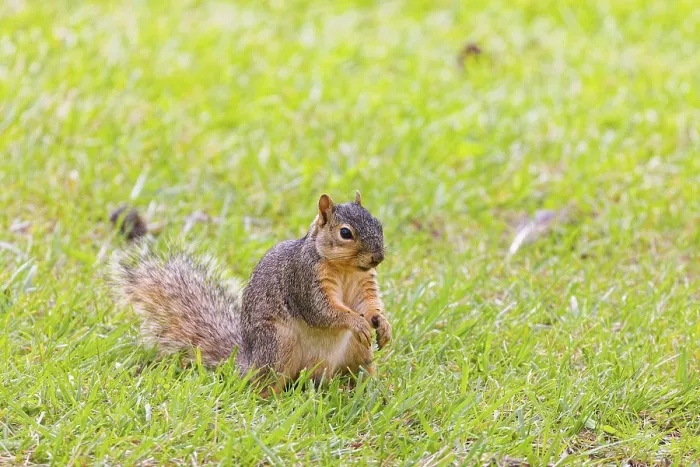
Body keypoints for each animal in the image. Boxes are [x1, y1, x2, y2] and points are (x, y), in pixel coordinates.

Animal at [110, 191, 392, 395]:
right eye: (345, 233)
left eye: (379, 224)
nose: (378, 257)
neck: (345, 269)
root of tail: (247, 364)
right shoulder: (303, 281)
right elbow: (322, 311)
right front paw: (355, 321)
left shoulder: (364, 283)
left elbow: (369, 302)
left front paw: (382, 324)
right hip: (278, 345)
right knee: (265, 385)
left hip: (357, 352)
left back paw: (367, 389)